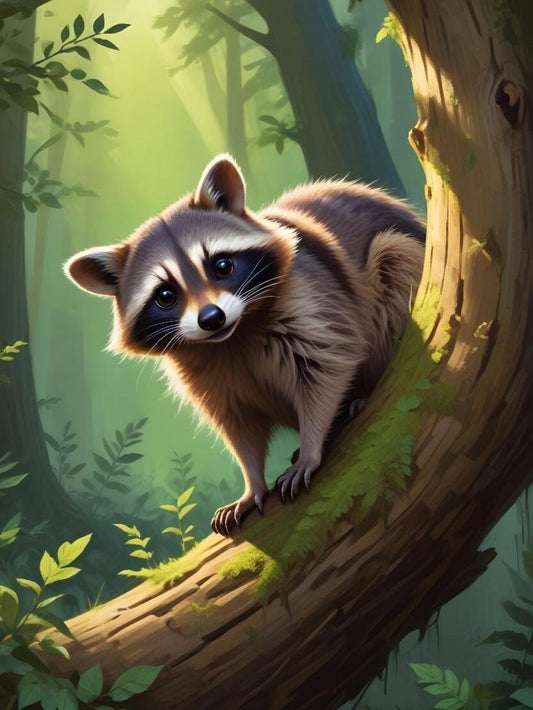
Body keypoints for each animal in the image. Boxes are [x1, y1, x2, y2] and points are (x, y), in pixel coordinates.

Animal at [65, 154, 425, 536]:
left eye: (222, 265)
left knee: (395, 260)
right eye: (165, 296)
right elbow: (237, 424)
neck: (232, 338)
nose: (212, 318)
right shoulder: (201, 372)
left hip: (399, 254)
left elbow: (328, 367)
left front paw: (311, 448)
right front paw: (252, 482)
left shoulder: (312, 297)